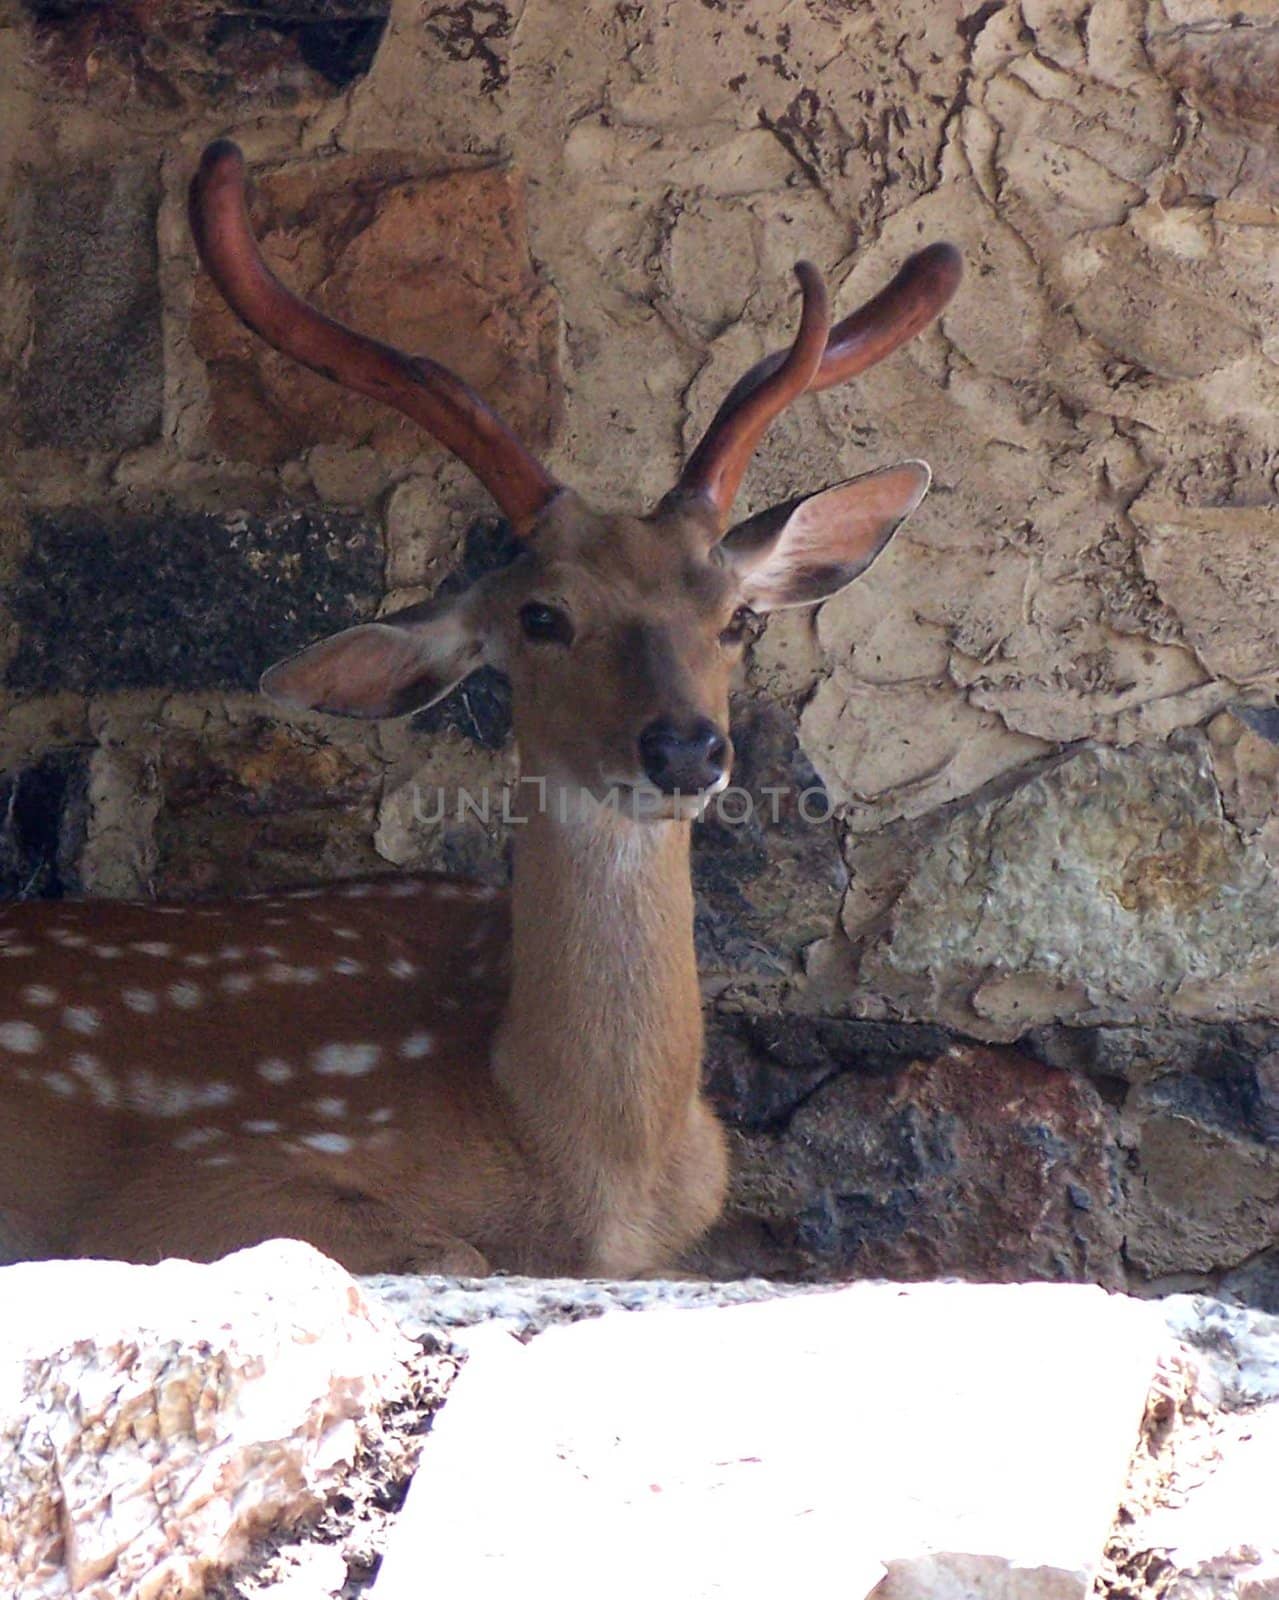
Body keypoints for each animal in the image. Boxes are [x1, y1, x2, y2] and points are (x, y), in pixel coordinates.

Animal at [0, 144, 960, 1280]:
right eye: (542, 615)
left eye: (736, 619)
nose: (686, 749)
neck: (589, 1162)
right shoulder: (184, 1186)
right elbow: (450, 1248)